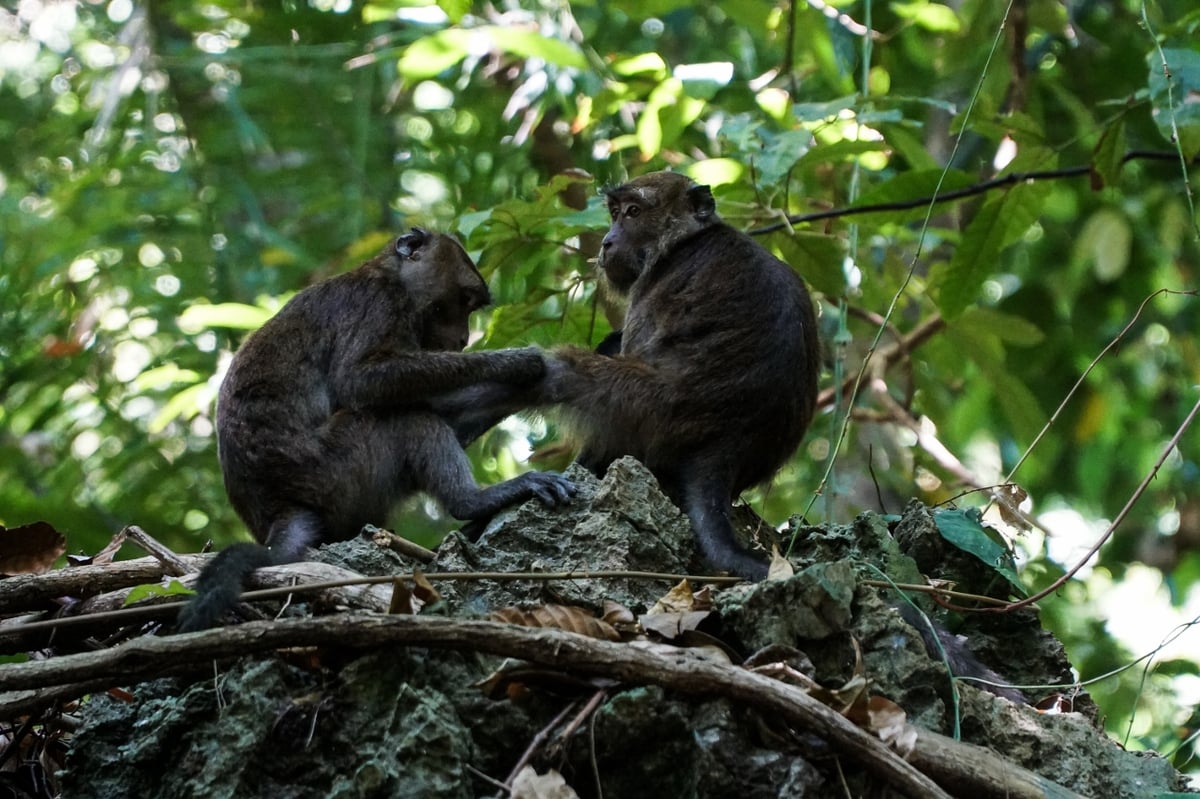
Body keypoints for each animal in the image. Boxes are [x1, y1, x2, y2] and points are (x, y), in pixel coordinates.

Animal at [172, 224, 576, 628]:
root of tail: (280, 507)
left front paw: (541, 383)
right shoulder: (378, 304)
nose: (463, 339)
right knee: (403, 418)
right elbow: (360, 381)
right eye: (462, 299)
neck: (392, 276)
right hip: (336, 472)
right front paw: (516, 363)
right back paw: (473, 501)